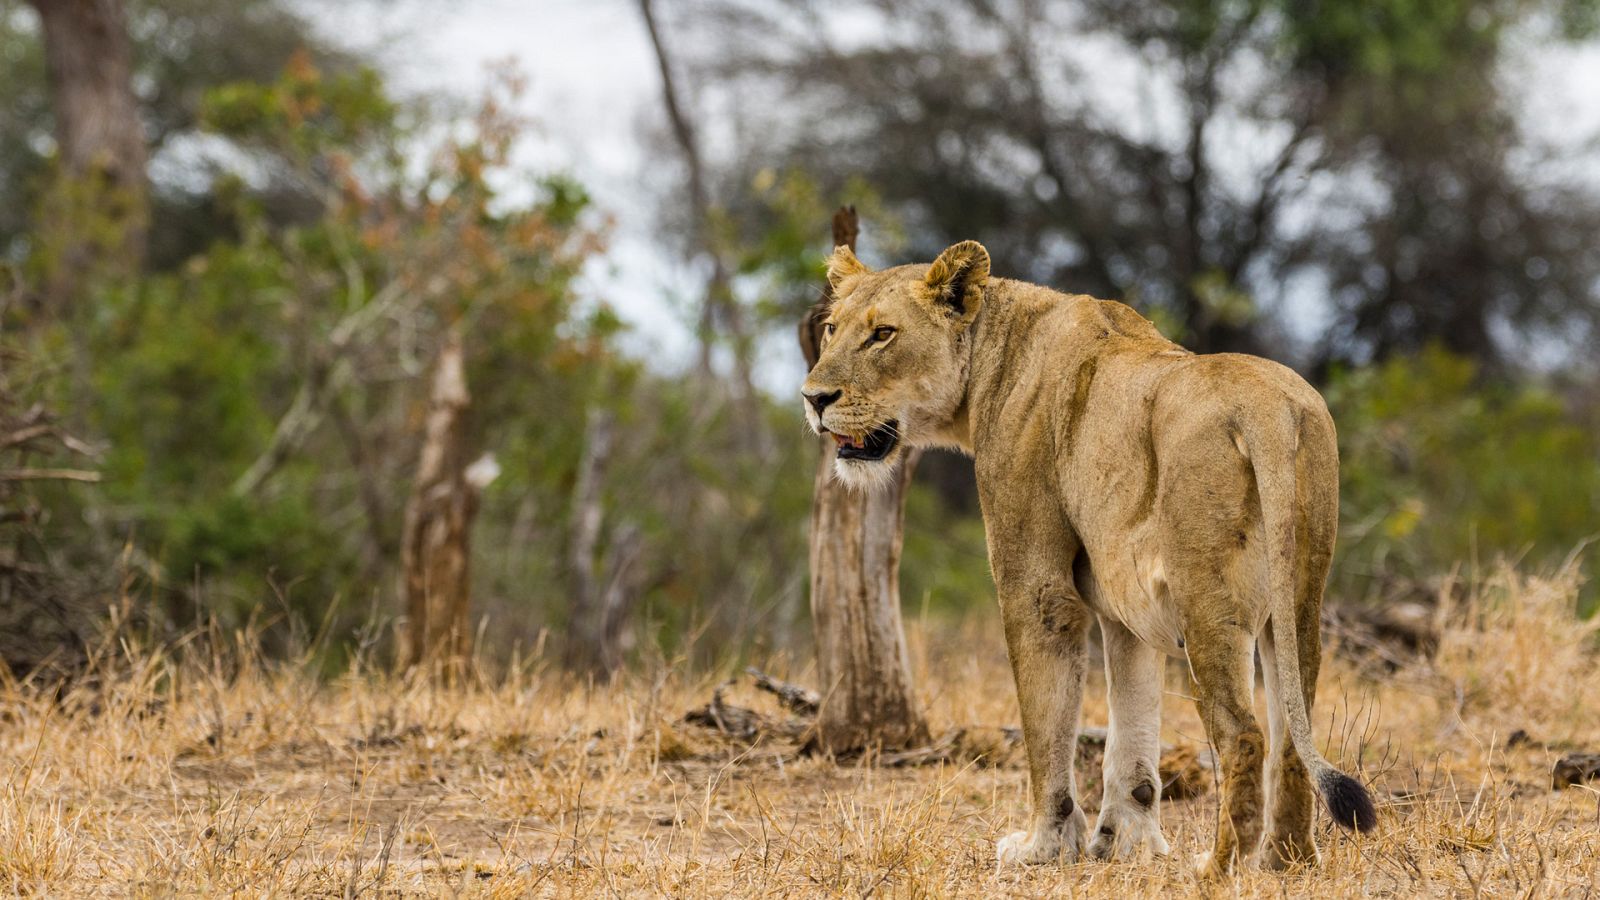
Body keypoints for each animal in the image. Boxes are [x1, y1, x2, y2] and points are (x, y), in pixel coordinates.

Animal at [801, 240, 1376, 875]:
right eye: (831, 329)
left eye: (882, 334)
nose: (813, 399)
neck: (989, 361)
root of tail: (1266, 408)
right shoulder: (1124, 604)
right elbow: (1131, 734)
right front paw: (1125, 842)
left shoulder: (1035, 584)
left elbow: (1047, 724)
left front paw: (1044, 846)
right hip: (1297, 602)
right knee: (1294, 733)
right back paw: (1285, 860)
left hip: (1207, 600)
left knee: (1244, 736)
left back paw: (1218, 867)